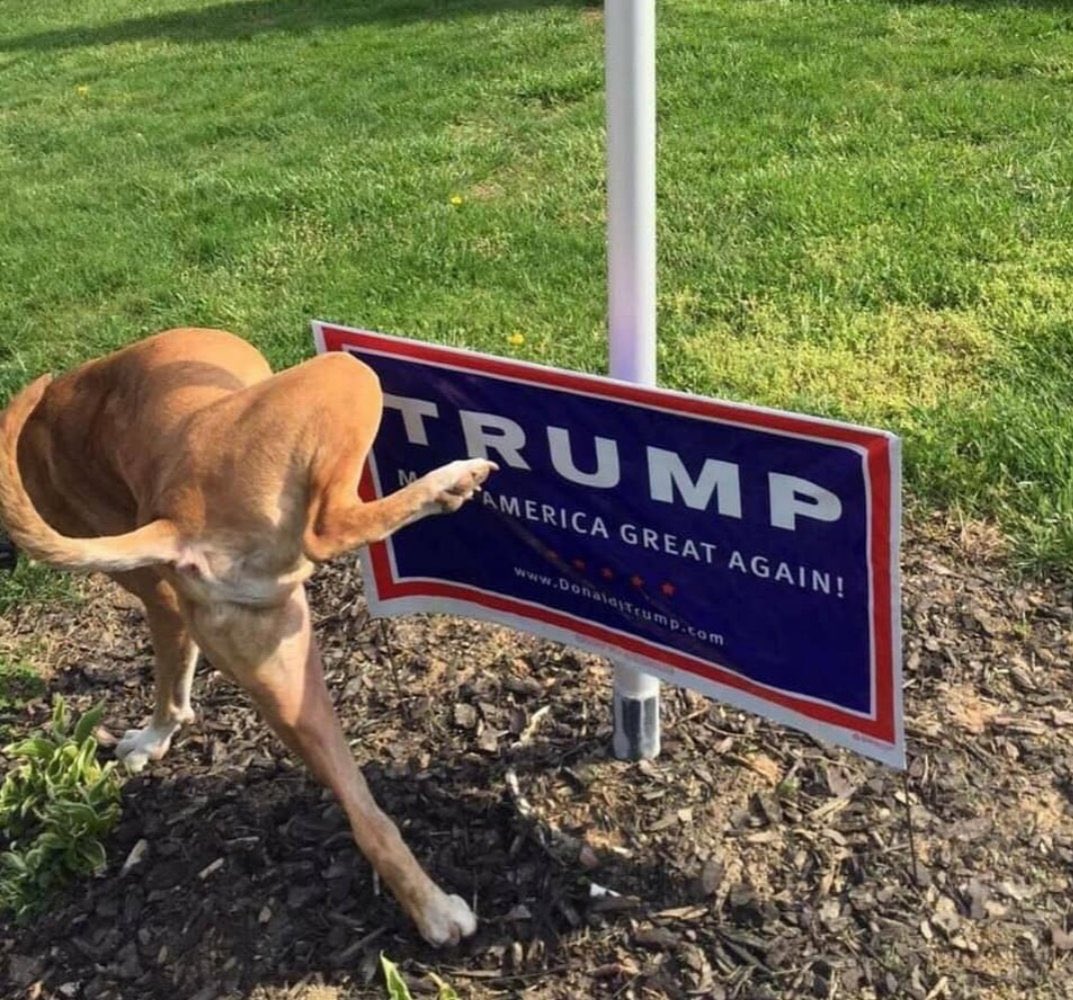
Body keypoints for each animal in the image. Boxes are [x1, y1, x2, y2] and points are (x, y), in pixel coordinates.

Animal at [0, 328, 497, 945]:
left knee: (366, 821)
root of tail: (178, 523)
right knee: (329, 528)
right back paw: (448, 483)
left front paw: (154, 736)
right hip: (346, 375)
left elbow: (171, 673)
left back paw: (433, 913)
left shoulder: (159, 599)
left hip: (287, 687)